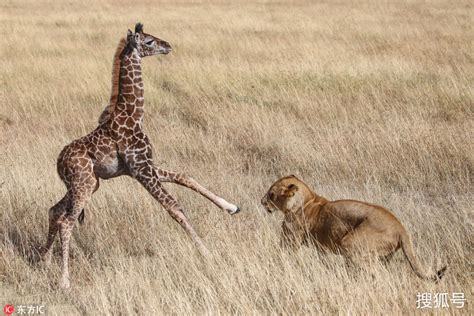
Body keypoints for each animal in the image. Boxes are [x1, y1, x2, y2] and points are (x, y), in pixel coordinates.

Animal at [41, 22, 241, 288]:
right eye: (148, 41)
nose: (168, 45)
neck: (134, 116)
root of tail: (58, 163)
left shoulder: (144, 167)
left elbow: (185, 177)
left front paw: (231, 207)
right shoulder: (142, 170)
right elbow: (174, 206)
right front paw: (206, 252)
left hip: (89, 183)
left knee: (54, 211)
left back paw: (43, 260)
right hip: (83, 184)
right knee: (66, 221)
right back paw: (64, 281)